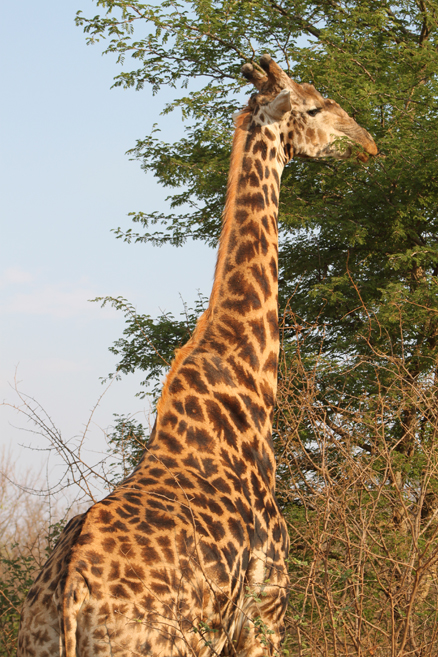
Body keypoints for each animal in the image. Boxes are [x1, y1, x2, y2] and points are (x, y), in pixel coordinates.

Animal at [16, 55, 372, 656]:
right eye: (316, 106)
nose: (366, 141)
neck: (251, 390)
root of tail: (69, 594)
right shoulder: (265, 611)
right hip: (159, 645)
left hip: (34, 642)